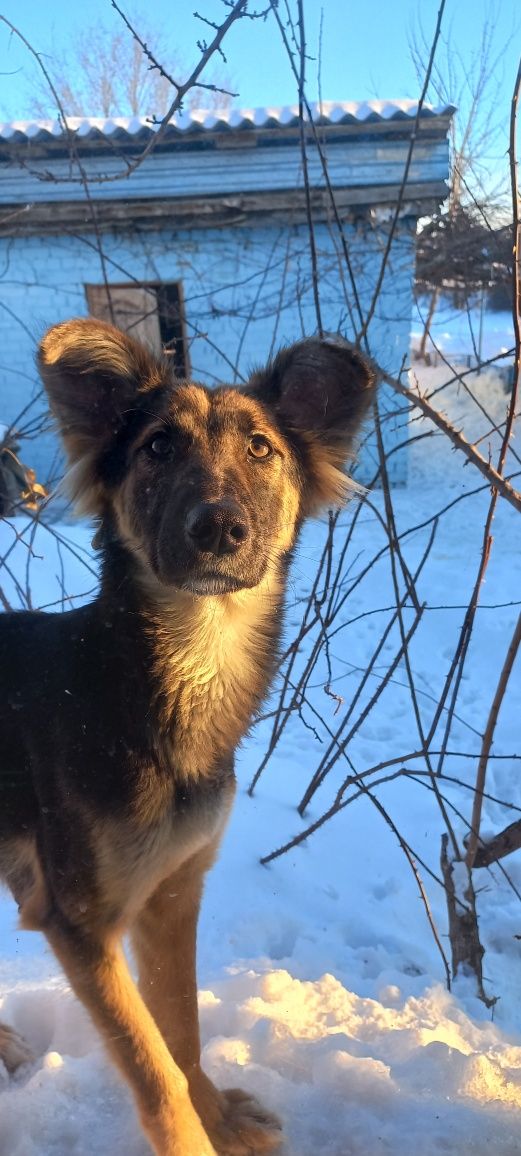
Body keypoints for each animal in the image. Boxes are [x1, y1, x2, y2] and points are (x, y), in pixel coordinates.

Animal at [0, 319, 374, 1156]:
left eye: (261, 447)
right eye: (157, 447)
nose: (218, 528)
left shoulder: (174, 890)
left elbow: (182, 1030)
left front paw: (219, 1116)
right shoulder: (79, 921)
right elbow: (152, 1068)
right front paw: (192, 1135)